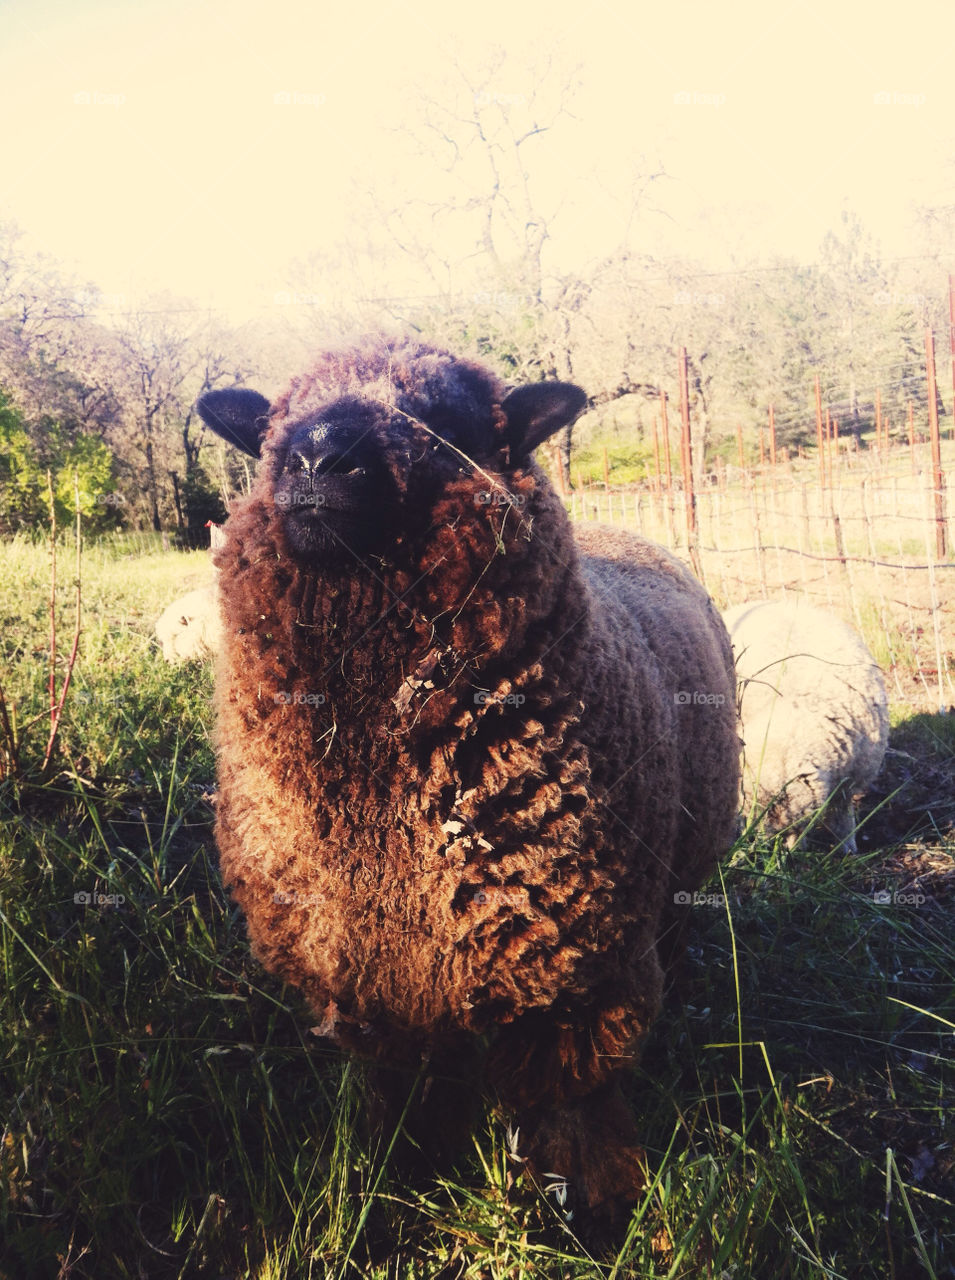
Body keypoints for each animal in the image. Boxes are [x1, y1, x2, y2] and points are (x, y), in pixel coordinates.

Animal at [197, 337, 742, 1218]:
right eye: (275, 419)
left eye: (445, 420)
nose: (318, 455)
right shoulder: (372, 973)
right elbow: (405, 1099)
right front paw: (396, 1187)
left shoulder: (583, 973)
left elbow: (570, 1110)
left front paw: (592, 1219)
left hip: (673, 876)